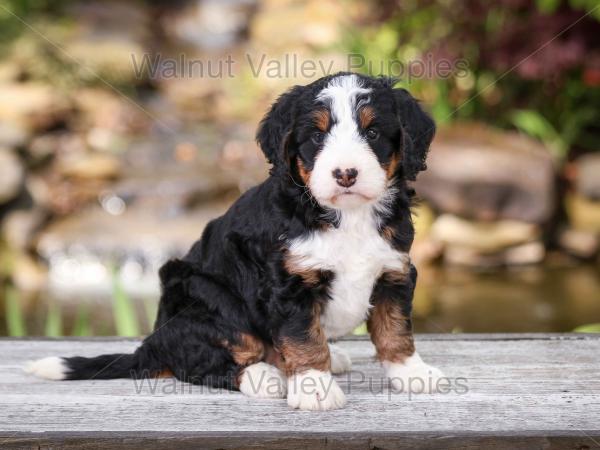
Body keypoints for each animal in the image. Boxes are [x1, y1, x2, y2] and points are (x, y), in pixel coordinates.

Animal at [25, 73, 442, 412]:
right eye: (317, 136)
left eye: (372, 133)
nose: (345, 174)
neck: (347, 216)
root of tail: (151, 344)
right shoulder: (287, 284)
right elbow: (303, 338)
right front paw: (314, 388)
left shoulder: (394, 270)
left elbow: (394, 329)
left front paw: (412, 373)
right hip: (207, 300)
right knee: (200, 363)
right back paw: (265, 376)